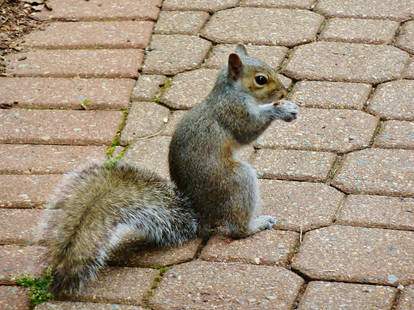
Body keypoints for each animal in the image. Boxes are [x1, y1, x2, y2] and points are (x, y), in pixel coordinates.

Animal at [45, 44, 300, 296]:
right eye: (260, 79)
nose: (282, 93)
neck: (232, 91)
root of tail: (199, 215)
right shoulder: (233, 112)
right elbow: (247, 130)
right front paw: (280, 110)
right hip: (237, 179)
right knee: (237, 229)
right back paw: (257, 224)